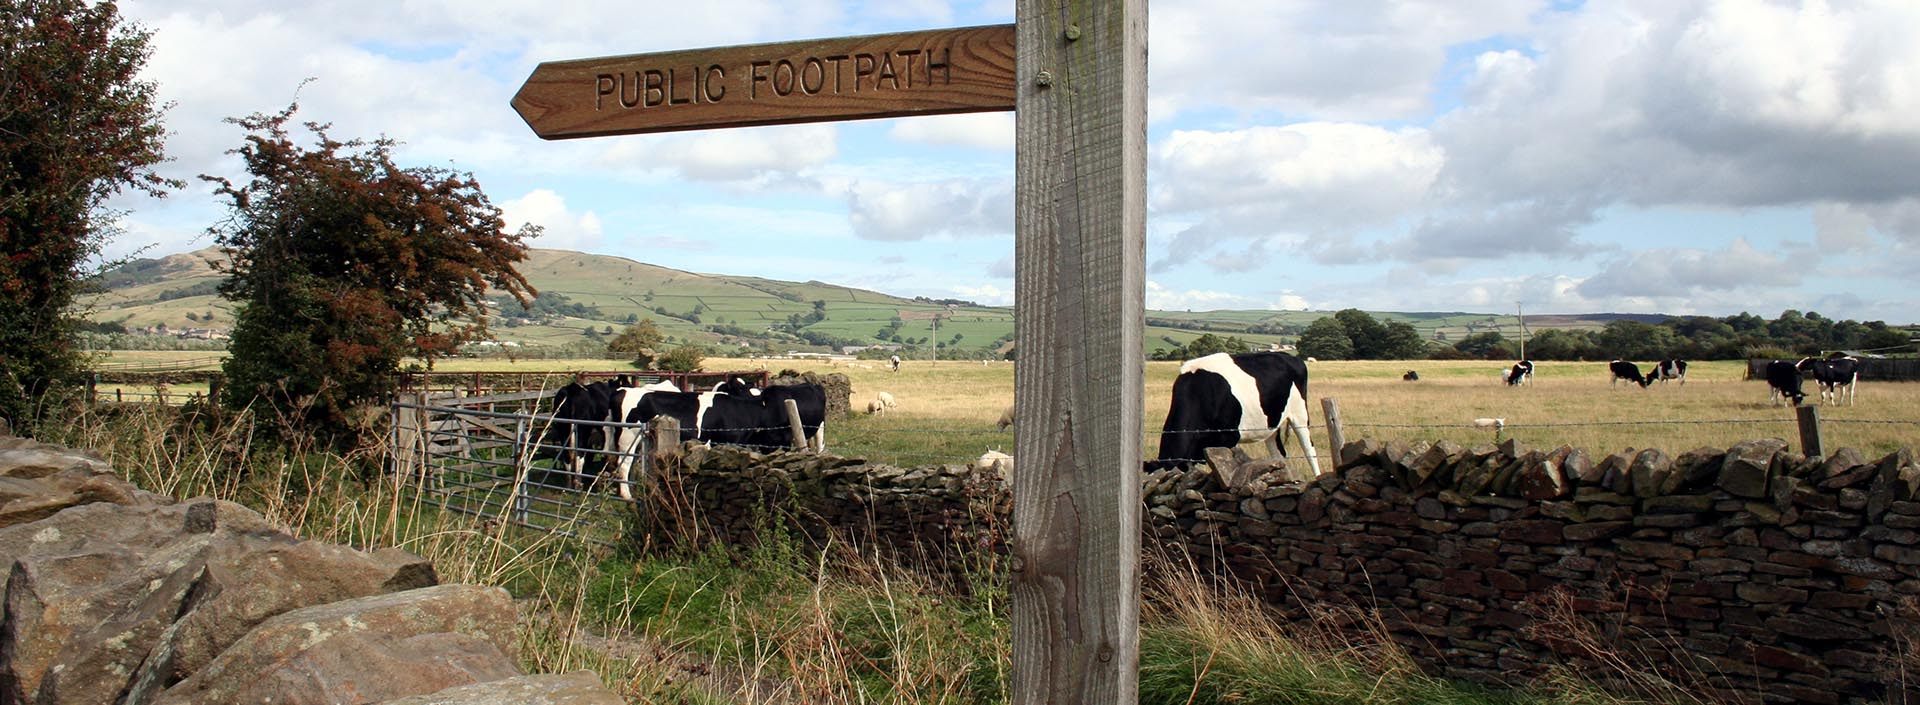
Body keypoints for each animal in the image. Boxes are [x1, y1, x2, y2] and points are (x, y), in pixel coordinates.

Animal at [1136, 351, 1320, 478]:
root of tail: (1290, 356)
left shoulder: (1228, 438)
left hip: (1300, 415)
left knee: (1310, 450)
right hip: (1271, 425)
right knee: (1279, 454)